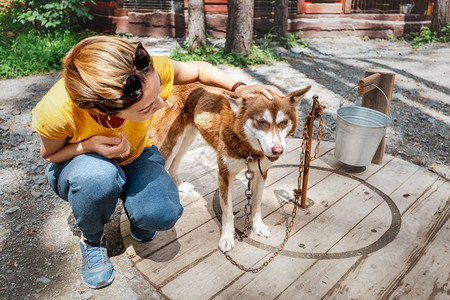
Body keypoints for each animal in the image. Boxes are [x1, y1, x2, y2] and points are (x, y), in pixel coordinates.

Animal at [149, 82, 312, 251]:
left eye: (283, 122)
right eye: (261, 122)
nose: (278, 150)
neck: (248, 149)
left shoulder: (261, 173)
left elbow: (256, 203)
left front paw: (258, 226)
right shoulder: (225, 175)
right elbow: (227, 212)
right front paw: (227, 237)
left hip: (187, 138)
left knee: (174, 165)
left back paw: (180, 186)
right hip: (170, 143)